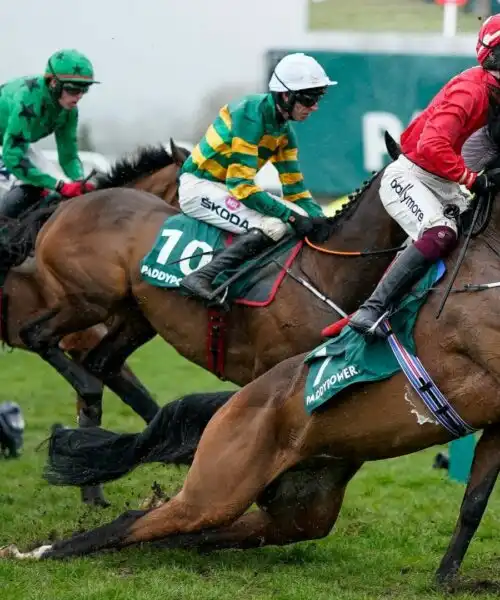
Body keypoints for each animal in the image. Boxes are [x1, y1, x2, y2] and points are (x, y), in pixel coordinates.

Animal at [5, 192, 500, 592]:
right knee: (140, 519)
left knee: (189, 530)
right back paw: (37, 551)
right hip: (215, 484)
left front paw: (446, 579)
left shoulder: (495, 427)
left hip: (296, 506)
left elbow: (473, 504)